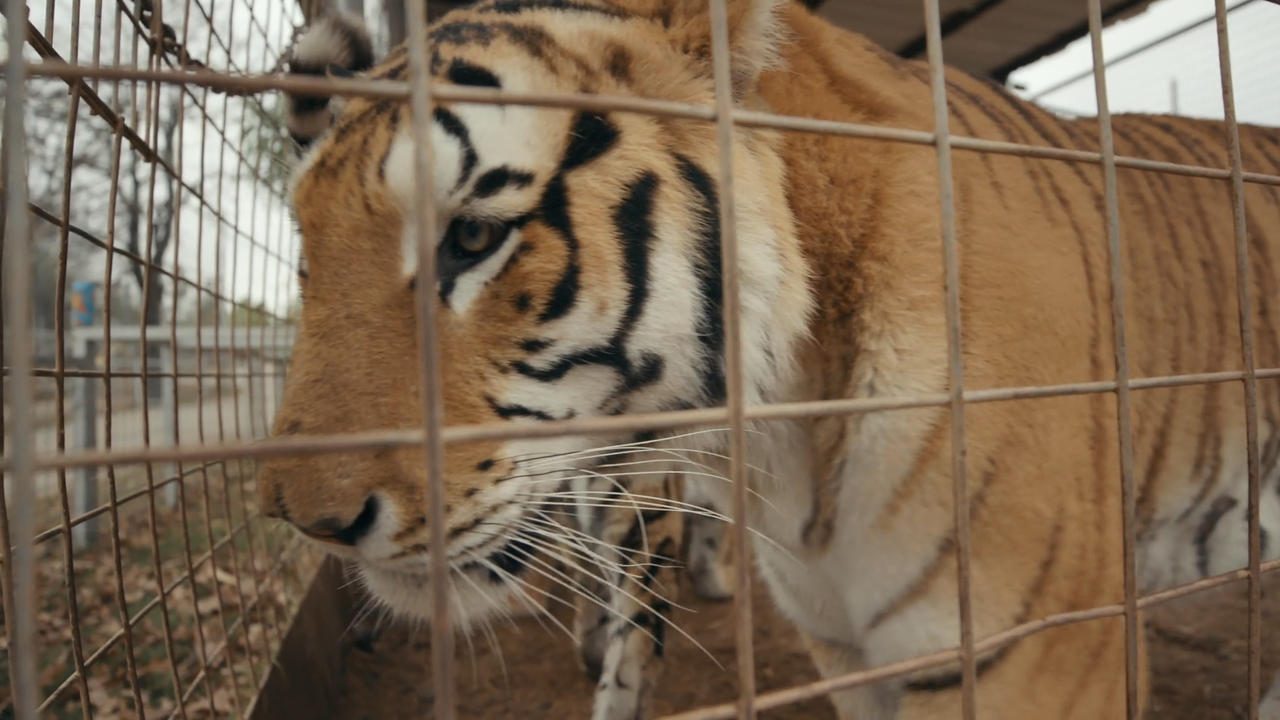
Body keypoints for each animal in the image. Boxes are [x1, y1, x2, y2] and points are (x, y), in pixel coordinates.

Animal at [256, 0, 1280, 718]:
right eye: (306, 249)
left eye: (472, 236)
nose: (309, 526)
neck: (796, 437)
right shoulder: (846, 648)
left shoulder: (1034, 657)